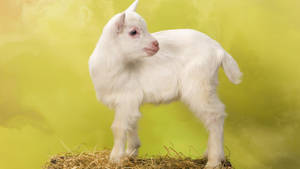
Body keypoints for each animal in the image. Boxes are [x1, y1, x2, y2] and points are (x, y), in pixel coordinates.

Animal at [88, 0, 241, 168]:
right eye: (133, 32)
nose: (156, 44)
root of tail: (218, 50)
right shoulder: (129, 101)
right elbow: (132, 122)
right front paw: (131, 152)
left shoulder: (126, 97)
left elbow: (118, 127)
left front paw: (115, 158)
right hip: (209, 83)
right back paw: (213, 155)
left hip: (198, 84)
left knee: (215, 115)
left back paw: (213, 161)